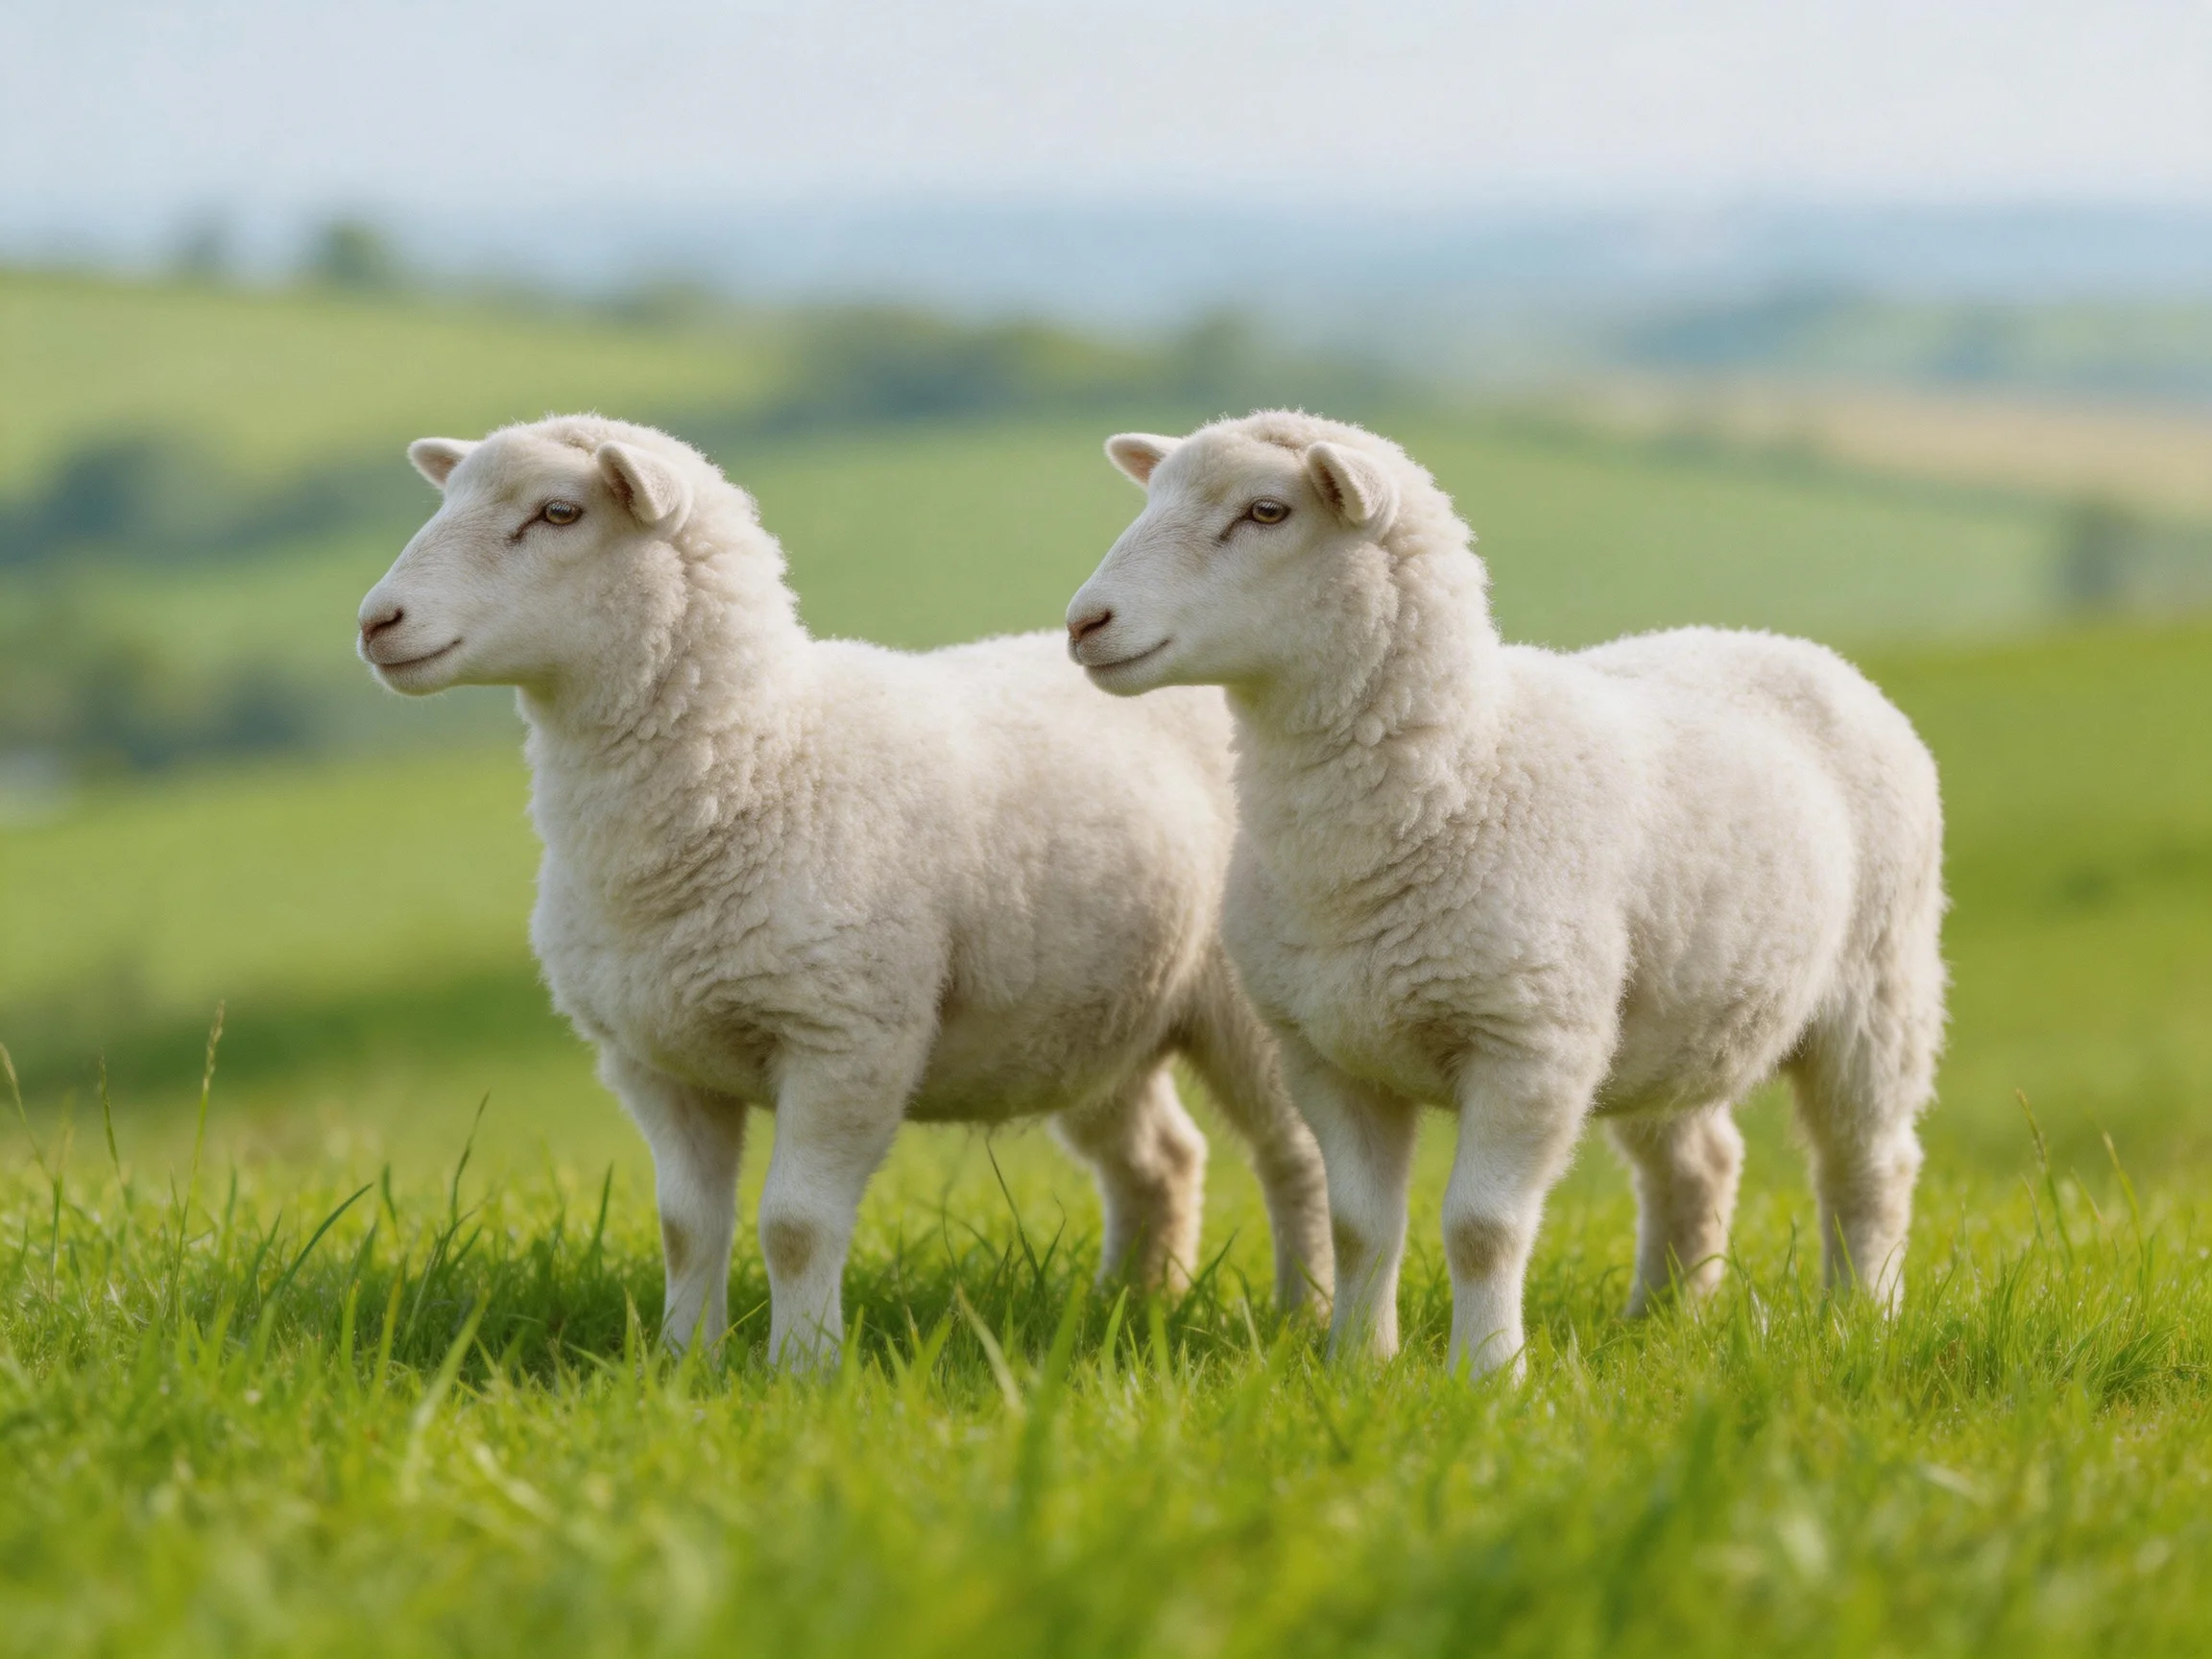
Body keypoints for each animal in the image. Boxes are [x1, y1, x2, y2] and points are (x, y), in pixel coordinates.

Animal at [355, 414, 1333, 1367]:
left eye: (558, 512)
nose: (375, 621)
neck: (761, 754)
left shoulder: (847, 1037)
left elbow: (793, 1226)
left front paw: (803, 1373)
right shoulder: (652, 1056)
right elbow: (684, 1226)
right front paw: (681, 1365)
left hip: (1249, 1011)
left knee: (1297, 1157)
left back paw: (1304, 1317)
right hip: (1090, 1015)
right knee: (1161, 1159)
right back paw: (1131, 1305)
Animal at [1065, 410, 1945, 1379]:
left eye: (1267, 511)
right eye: (1154, 494)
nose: (1085, 622)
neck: (1463, 767)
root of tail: (1781, 641)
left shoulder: (1530, 1045)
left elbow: (1481, 1228)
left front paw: (1486, 1377)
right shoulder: (1328, 1052)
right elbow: (1359, 1226)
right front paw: (1357, 1367)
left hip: (1879, 988)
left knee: (1868, 1164)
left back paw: (1862, 1316)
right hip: (1663, 1019)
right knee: (1699, 1161)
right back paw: (1663, 1319)